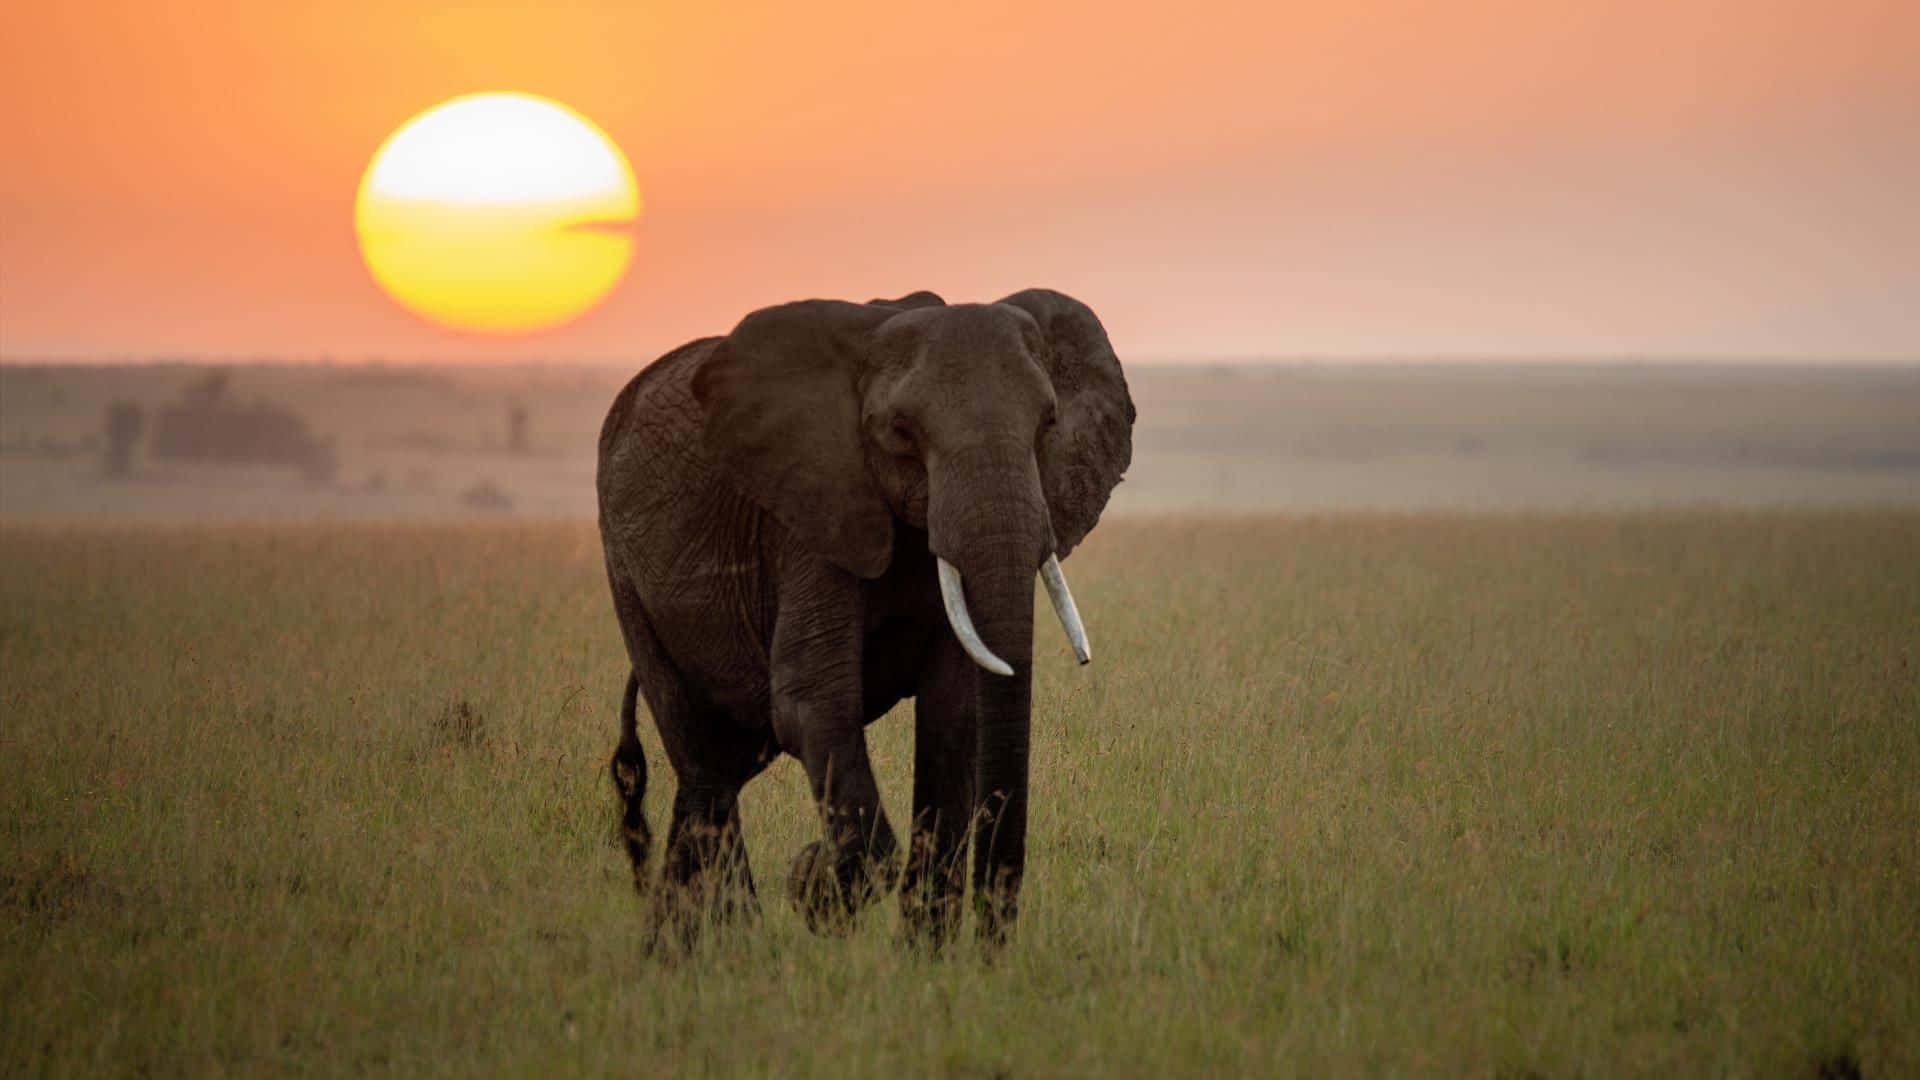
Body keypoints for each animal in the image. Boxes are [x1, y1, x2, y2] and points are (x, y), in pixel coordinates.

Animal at [596, 287, 1133, 948]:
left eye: (1049, 423)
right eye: (901, 431)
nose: (991, 948)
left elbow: (954, 713)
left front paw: (924, 960)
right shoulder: (809, 510)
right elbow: (813, 704)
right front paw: (812, 881)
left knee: (721, 769)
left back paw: (679, 954)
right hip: (626, 574)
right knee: (705, 765)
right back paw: (732, 950)